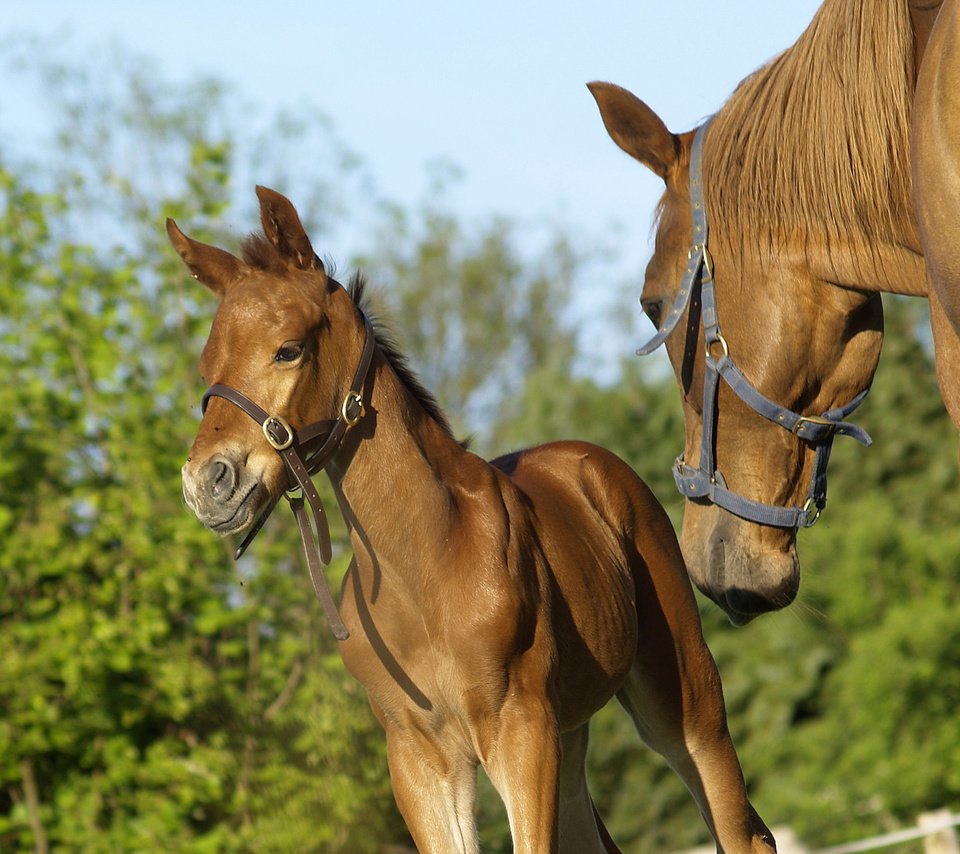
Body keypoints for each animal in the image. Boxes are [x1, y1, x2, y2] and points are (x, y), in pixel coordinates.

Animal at [169, 189, 776, 854]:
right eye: (206, 365)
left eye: (289, 348)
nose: (208, 483)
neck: (425, 567)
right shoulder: (418, 755)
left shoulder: (520, 729)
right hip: (571, 733)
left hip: (684, 697)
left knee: (743, 830)